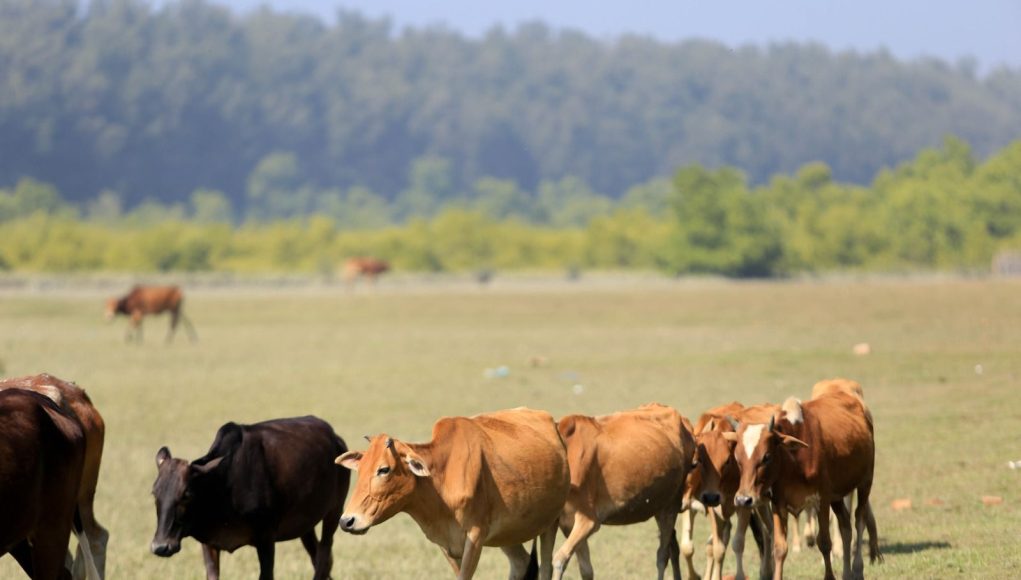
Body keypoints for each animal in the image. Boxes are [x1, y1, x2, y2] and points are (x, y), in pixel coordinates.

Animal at [151, 416, 349, 580]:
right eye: (154, 492)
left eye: (186, 494)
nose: (160, 547)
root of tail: (336, 439)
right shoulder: (209, 543)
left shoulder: (266, 538)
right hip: (306, 524)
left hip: (334, 512)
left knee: (323, 557)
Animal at [336, 407, 570, 580]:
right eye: (360, 469)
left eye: (384, 469)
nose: (347, 521)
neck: (441, 479)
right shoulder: (445, 544)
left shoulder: (475, 537)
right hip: (509, 533)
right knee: (520, 563)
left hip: (550, 523)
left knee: (547, 567)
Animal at [553, 403, 696, 580]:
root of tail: (683, 421)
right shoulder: (567, 523)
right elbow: (586, 570)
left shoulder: (588, 520)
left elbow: (559, 559)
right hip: (659, 506)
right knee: (672, 547)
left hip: (671, 505)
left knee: (662, 554)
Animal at [681, 402, 771, 580]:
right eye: (701, 460)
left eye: (728, 460)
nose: (711, 497)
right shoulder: (709, 508)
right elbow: (712, 548)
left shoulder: (744, 505)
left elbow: (738, 543)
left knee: (767, 533)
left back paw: (766, 572)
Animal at [726, 388, 878, 580]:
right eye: (737, 458)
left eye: (766, 456)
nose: (743, 500)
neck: (794, 460)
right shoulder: (778, 504)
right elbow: (780, 548)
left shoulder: (822, 499)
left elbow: (824, 542)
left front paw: (829, 576)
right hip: (837, 496)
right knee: (845, 526)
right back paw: (847, 573)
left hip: (865, 483)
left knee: (859, 519)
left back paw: (857, 569)